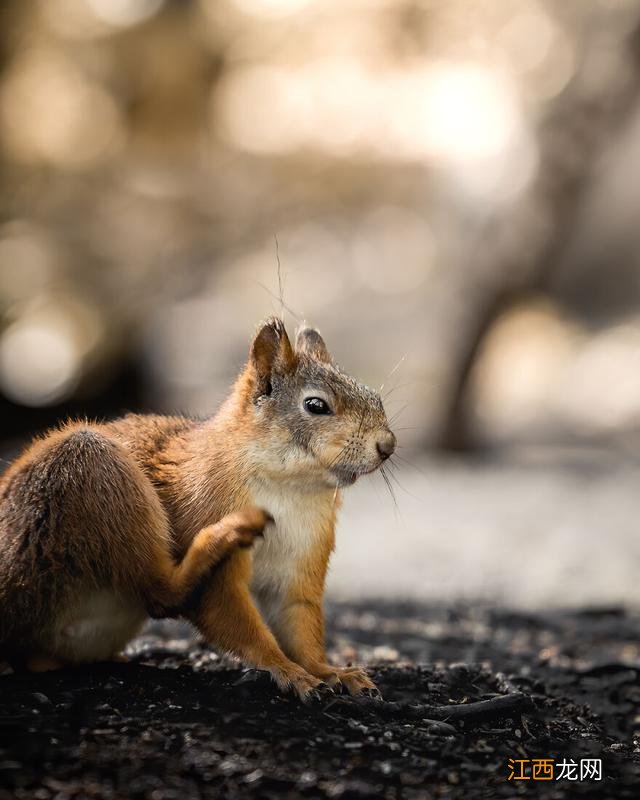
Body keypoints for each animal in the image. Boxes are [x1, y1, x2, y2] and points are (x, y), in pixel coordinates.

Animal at [0, 318, 398, 700]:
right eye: (316, 405)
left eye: (375, 397)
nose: (388, 445)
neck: (291, 488)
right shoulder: (208, 515)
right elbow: (227, 611)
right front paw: (290, 671)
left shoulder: (301, 565)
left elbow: (300, 625)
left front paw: (331, 671)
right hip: (89, 473)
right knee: (162, 594)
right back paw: (223, 536)